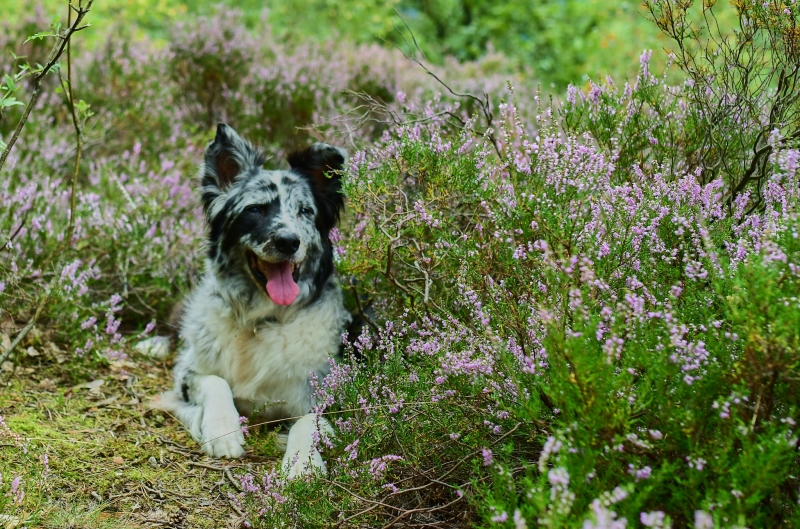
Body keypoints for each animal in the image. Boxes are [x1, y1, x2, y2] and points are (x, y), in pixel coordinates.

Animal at [155, 125, 352, 478]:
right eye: (255, 209)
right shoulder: (188, 374)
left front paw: (302, 467)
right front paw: (222, 430)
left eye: (305, 211)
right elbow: (214, 380)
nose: (288, 242)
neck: (260, 320)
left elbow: (308, 421)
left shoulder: (331, 395)